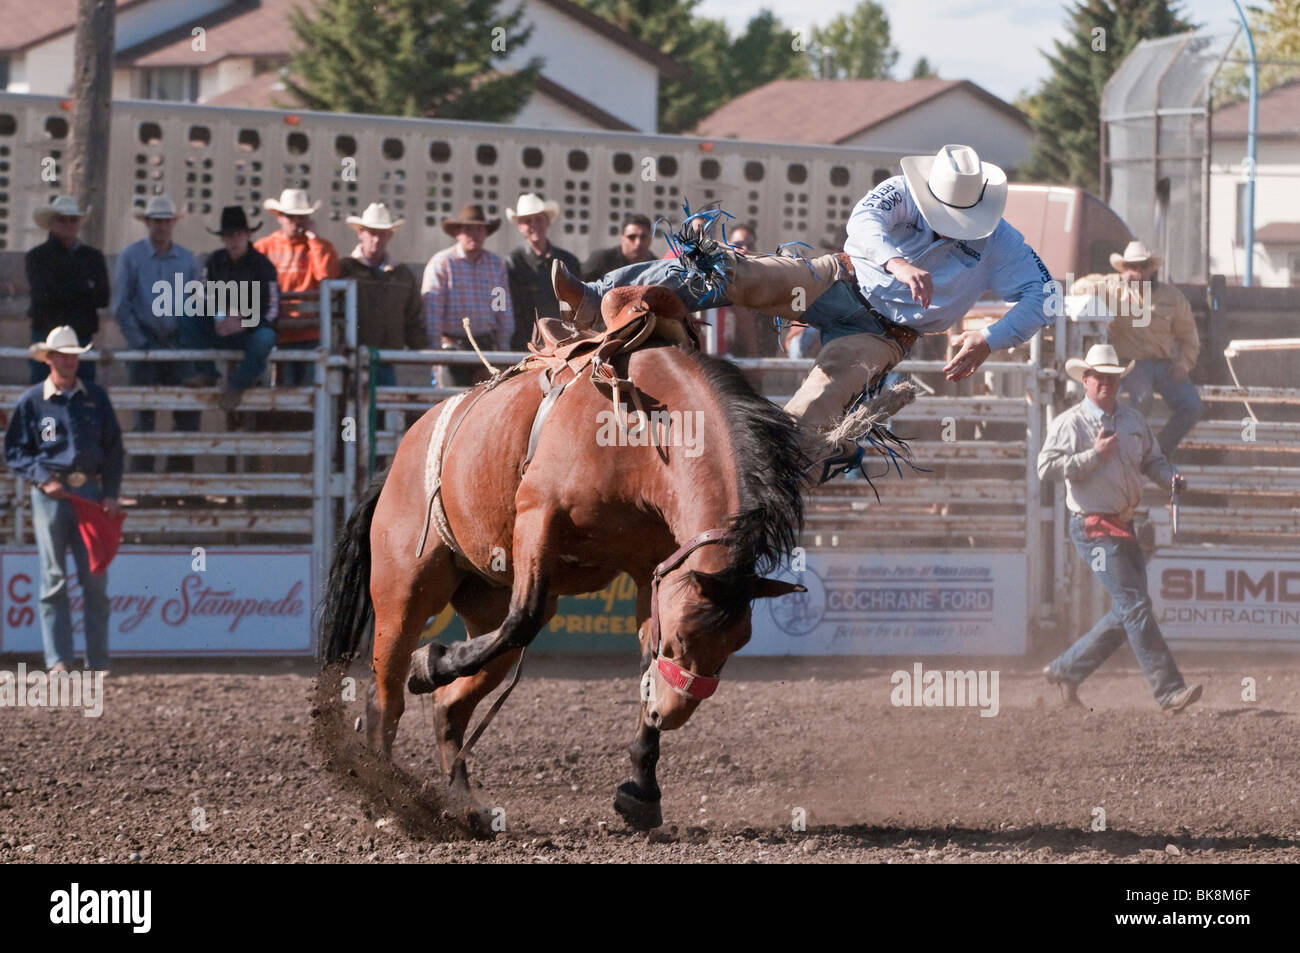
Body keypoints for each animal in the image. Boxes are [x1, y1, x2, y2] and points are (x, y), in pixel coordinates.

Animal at [317, 286, 807, 830]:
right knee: (386, 696)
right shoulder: (539, 516)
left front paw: (641, 792)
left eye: (738, 643)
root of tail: (397, 460)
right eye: (682, 638)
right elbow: (525, 617)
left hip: (483, 602)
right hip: (404, 590)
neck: (640, 436)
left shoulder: (653, 572)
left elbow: (642, 662)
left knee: (451, 706)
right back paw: (392, 795)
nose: (675, 712)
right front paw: (433, 660)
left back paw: (464, 805)